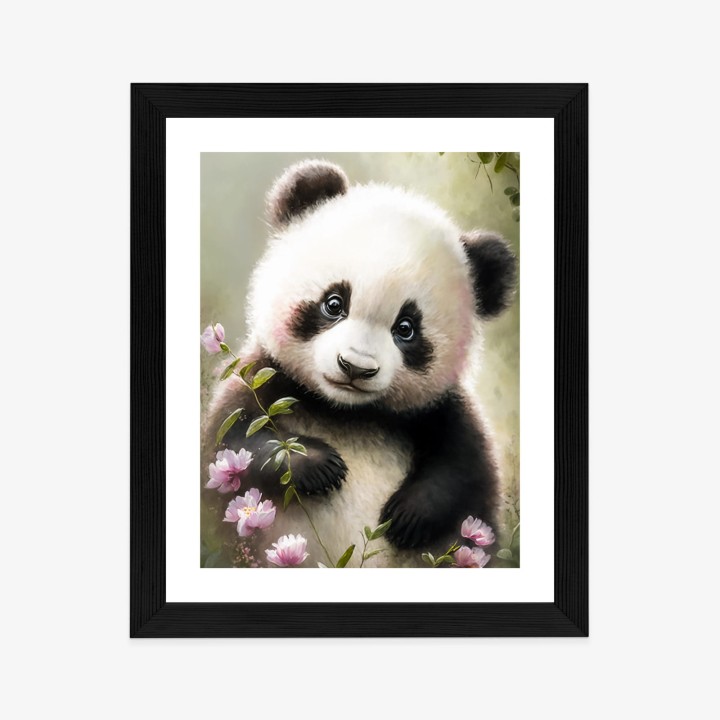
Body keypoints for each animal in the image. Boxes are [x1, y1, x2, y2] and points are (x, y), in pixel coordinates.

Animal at [203, 159, 516, 568]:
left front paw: (408, 515)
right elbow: (232, 443)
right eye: (334, 303)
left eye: (406, 328)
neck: (348, 413)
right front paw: (319, 465)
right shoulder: (264, 380)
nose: (355, 367)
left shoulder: (439, 411)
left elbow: (464, 470)